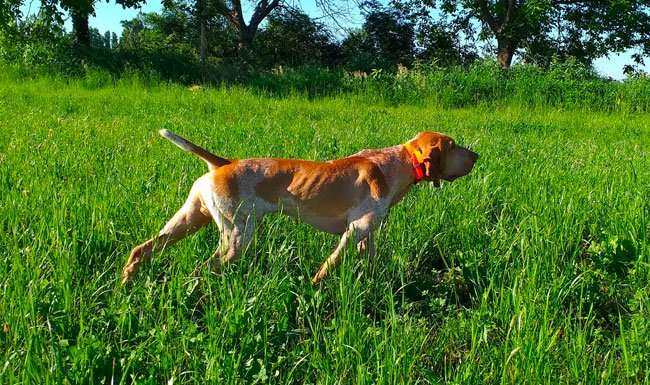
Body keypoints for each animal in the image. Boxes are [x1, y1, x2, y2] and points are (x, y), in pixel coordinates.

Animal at [121, 130, 476, 284]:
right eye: (454, 145)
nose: (477, 156)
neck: (394, 163)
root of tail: (223, 164)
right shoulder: (355, 230)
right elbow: (328, 267)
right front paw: (314, 290)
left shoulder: (368, 236)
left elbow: (371, 264)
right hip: (236, 237)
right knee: (201, 269)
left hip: (191, 218)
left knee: (142, 249)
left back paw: (126, 284)